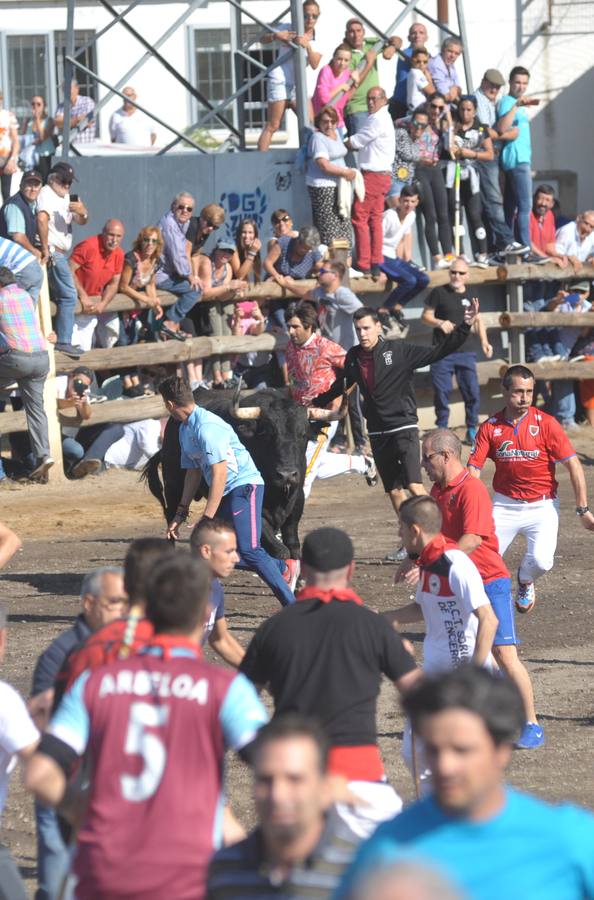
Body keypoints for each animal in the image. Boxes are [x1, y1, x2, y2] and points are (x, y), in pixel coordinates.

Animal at [142, 384, 310, 560]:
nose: (286, 475)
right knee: (171, 516)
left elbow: (293, 547)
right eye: (266, 434)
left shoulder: (297, 500)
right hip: (173, 485)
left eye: (303, 434)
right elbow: (280, 550)